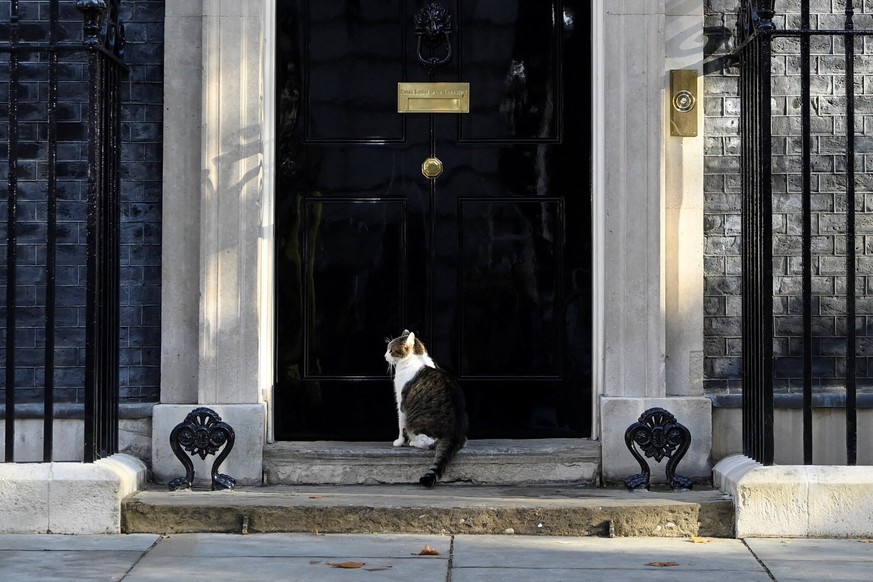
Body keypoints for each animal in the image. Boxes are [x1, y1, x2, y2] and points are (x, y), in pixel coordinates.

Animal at [384, 334, 466, 488]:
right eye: (387, 349)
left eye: (391, 350)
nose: (384, 355)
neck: (415, 358)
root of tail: (454, 434)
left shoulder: (401, 403)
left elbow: (400, 425)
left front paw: (399, 442)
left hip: (419, 425)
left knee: (429, 442)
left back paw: (413, 442)